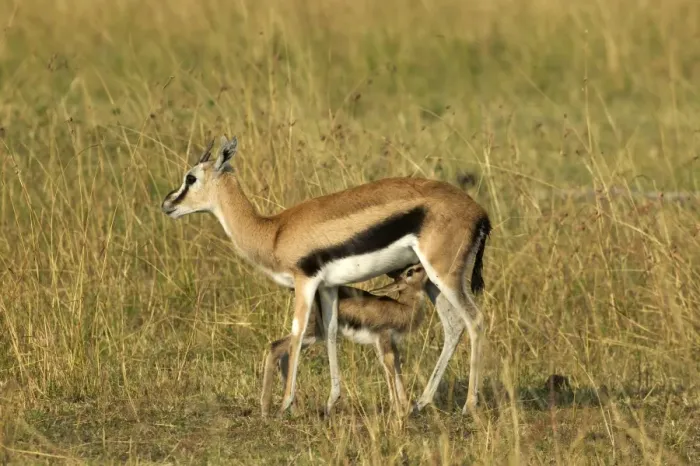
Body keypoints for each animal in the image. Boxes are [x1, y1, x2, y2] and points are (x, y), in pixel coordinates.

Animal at [260, 263, 429, 416]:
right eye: (410, 271)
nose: (425, 266)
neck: (403, 307)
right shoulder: (383, 340)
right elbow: (389, 366)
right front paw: (399, 411)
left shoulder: (392, 343)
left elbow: (397, 366)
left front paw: (407, 407)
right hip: (311, 332)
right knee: (277, 347)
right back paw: (267, 410)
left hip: (314, 336)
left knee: (282, 351)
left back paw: (292, 410)